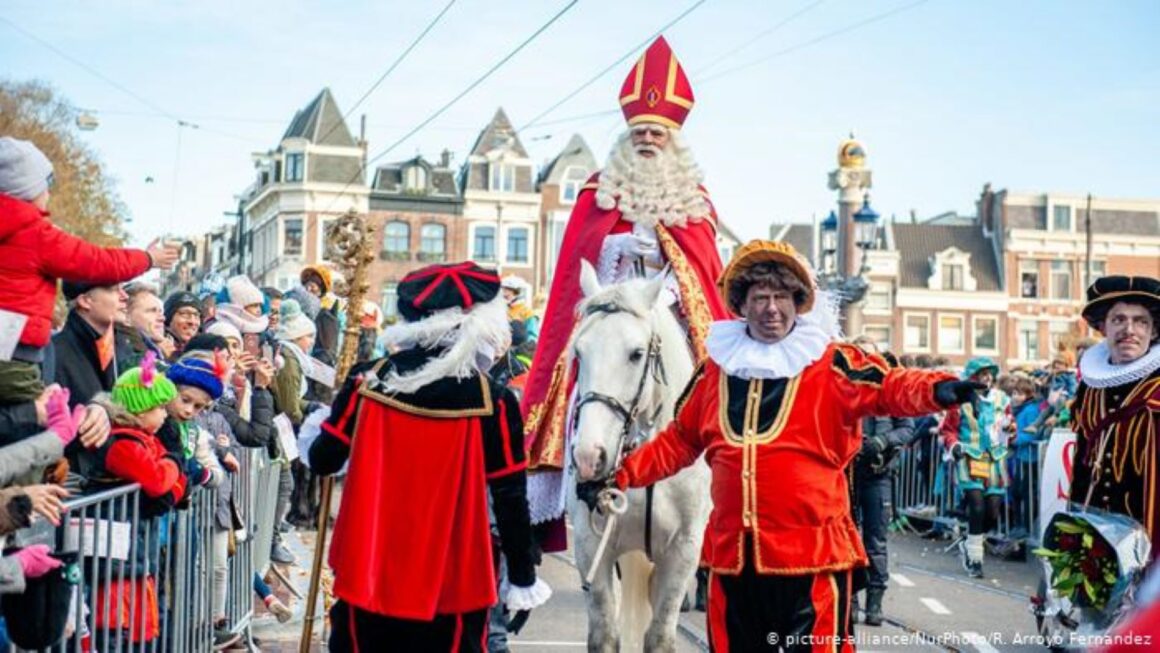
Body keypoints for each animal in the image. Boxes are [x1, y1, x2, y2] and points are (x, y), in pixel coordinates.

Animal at [568, 262, 709, 653]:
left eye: (635, 353)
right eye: (579, 353)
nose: (589, 456)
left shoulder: (683, 550)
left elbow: (660, 636)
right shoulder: (590, 545)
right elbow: (604, 634)